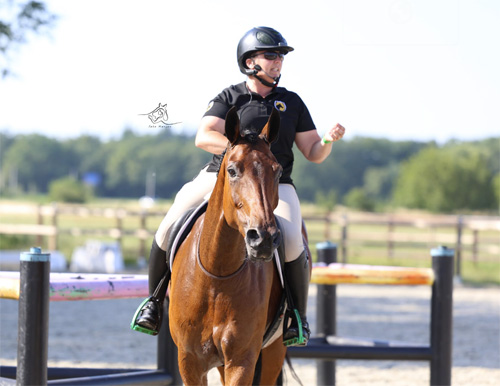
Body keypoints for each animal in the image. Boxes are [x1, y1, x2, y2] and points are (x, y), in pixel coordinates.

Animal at [170, 106, 290, 386]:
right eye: (233, 170)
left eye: (278, 171)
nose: (263, 238)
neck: (218, 273)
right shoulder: (190, 361)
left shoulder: (241, 360)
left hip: (274, 350)